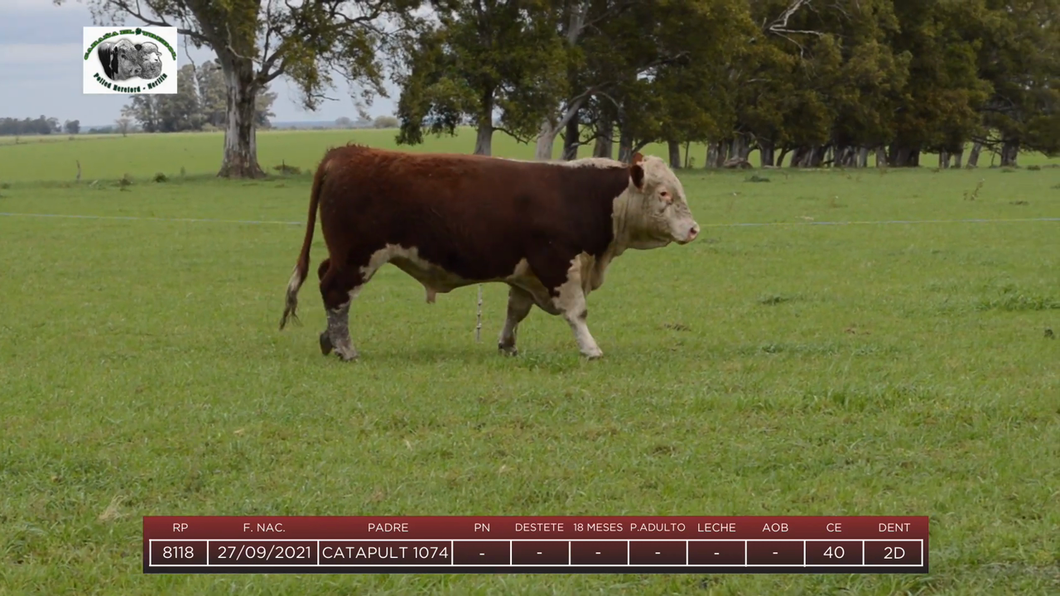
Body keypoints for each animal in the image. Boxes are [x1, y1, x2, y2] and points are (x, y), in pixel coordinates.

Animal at [277, 145, 699, 356]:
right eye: (664, 193)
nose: (694, 229)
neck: (584, 195)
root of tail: (347, 152)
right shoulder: (557, 263)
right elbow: (576, 311)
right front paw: (590, 348)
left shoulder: (526, 271)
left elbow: (516, 310)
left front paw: (507, 345)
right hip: (358, 256)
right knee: (335, 292)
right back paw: (346, 348)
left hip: (344, 254)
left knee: (326, 281)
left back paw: (329, 340)